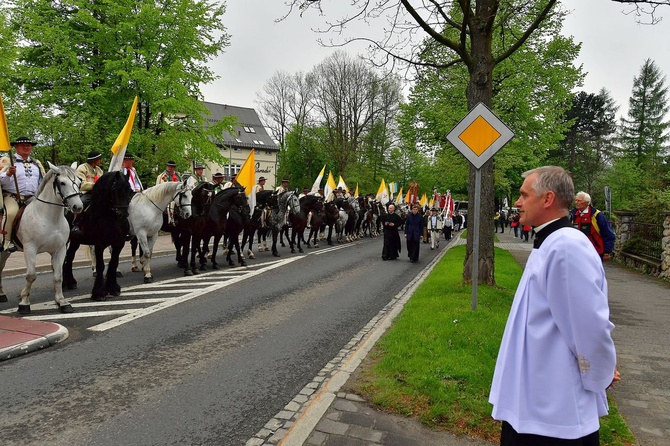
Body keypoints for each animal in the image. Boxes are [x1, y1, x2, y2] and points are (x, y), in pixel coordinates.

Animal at [0, 163, 84, 314]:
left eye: (79, 182)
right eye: (62, 183)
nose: (78, 206)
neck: (49, 217)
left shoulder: (60, 250)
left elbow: (58, 277)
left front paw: (62, 302)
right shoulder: (30, 249)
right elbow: (31, 275)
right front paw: (24, 303)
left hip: (5, 252)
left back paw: (2, 294)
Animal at [64, 170, 134, 300]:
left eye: (129, 190)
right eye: (114, 189)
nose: (123, 214)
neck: (110, 217)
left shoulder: (119, 243)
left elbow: (113, 263)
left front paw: (113, 288)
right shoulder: (99, 244)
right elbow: (100, 265)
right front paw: (99, 292)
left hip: (75, 241)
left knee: (69, 257)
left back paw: (71, 282)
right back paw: (64, 285)